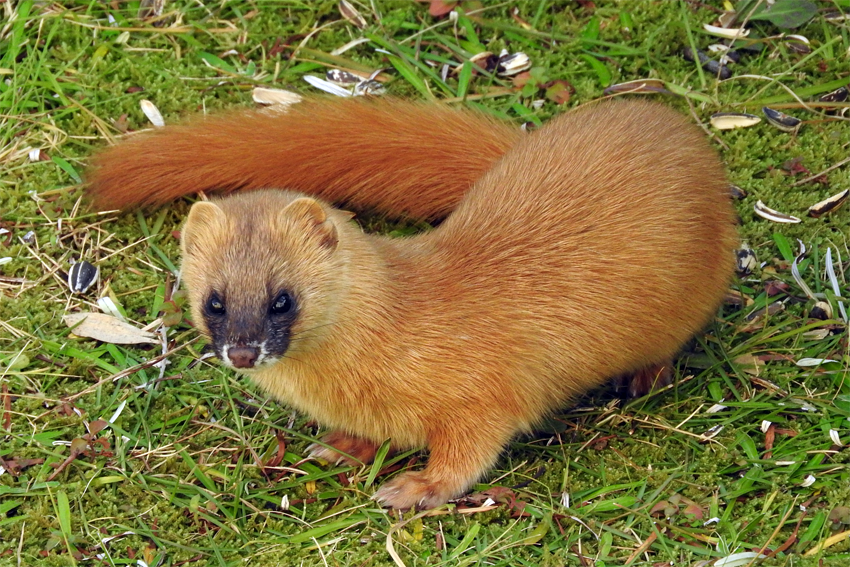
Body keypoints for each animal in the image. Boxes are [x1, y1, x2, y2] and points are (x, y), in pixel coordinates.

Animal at [86, 98, 736, 510]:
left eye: (282, 299)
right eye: (214, 301)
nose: (243, 352)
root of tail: (659, 117)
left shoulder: (485, 394)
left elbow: (468, 454)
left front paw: (413, 489)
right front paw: (341, 446)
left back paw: (645, 375)